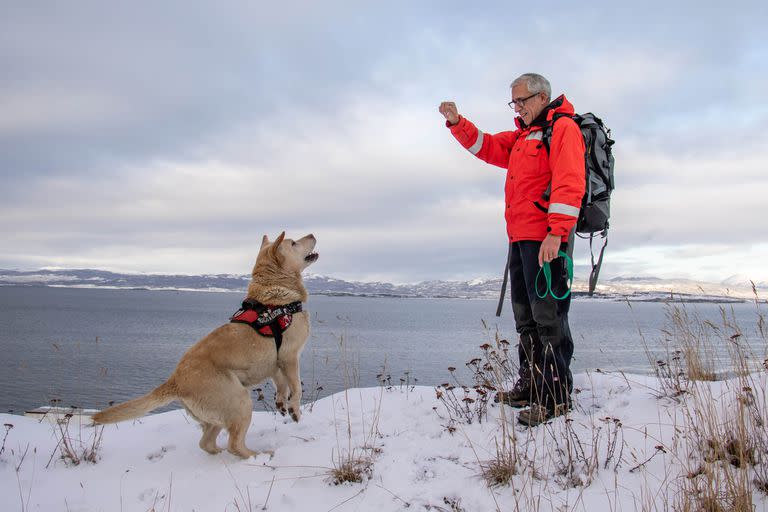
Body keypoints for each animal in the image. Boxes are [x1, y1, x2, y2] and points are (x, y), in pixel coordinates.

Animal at [92, 232, 318, 456]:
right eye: (293, 243)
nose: (313, 234)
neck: (276, 297)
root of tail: (175, 381)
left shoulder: (276, 362)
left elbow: (281, 384)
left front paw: (281, 402)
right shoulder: (289, 356)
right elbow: (295, 387)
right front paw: (295, 410)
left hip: (217, 414)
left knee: (206, 443)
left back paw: (220, 454)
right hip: (239, 400)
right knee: (234, 444)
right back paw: (258, 455)